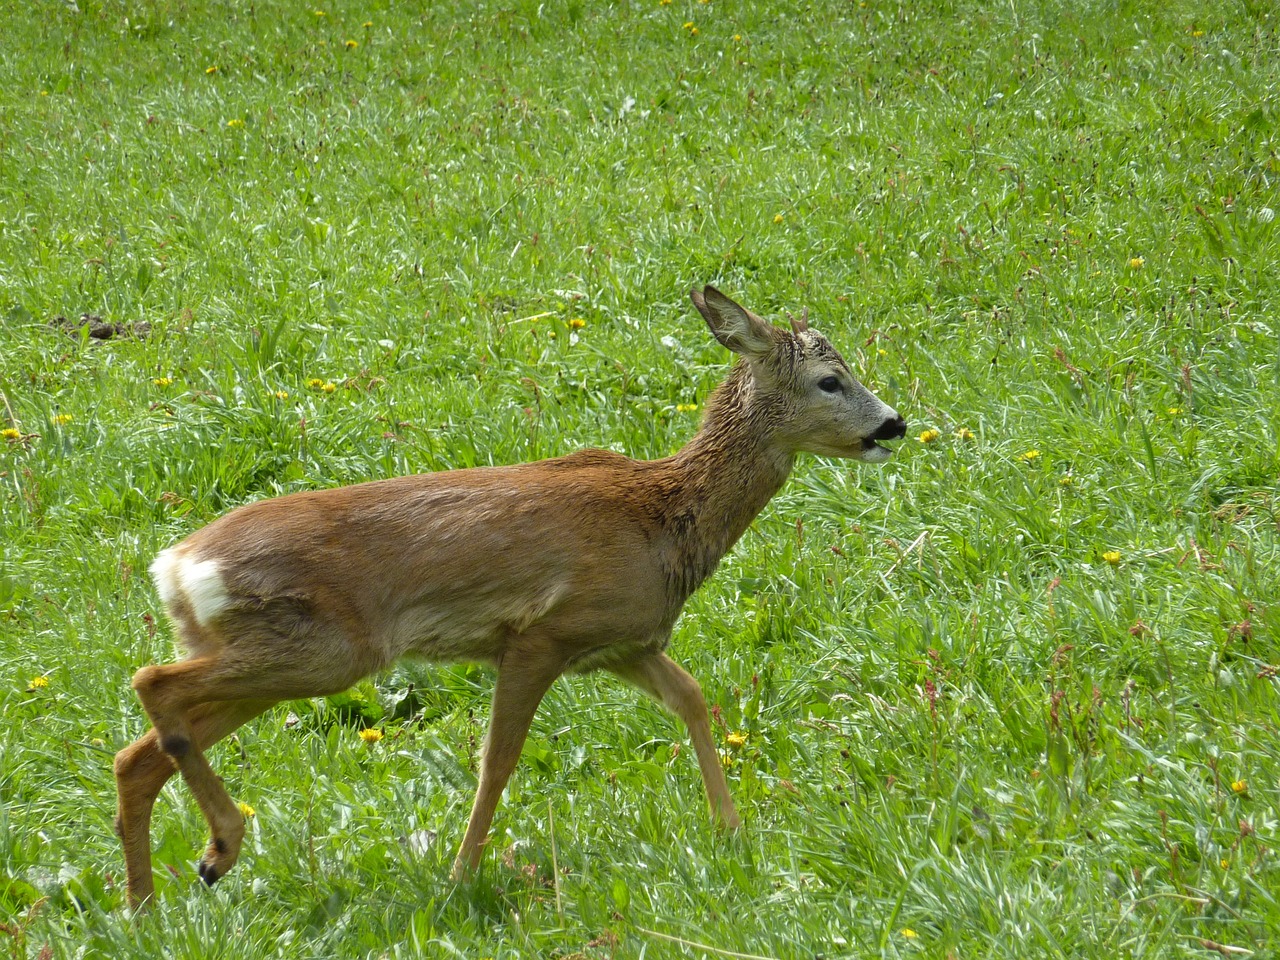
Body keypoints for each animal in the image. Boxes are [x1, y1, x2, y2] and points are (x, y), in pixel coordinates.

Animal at [112, 285, 911, 911]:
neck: (665, 517)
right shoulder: (542, 635)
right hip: (324, 650)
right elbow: (498, 759)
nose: (894, 424)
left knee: (139, 752)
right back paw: (220, 848)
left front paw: (731, 831)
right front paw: (461, 876)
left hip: (270, 659)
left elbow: (691, 696)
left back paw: (152, 902)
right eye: (830, 380)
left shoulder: (619, 642)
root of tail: (175, 566)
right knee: (152, 683)